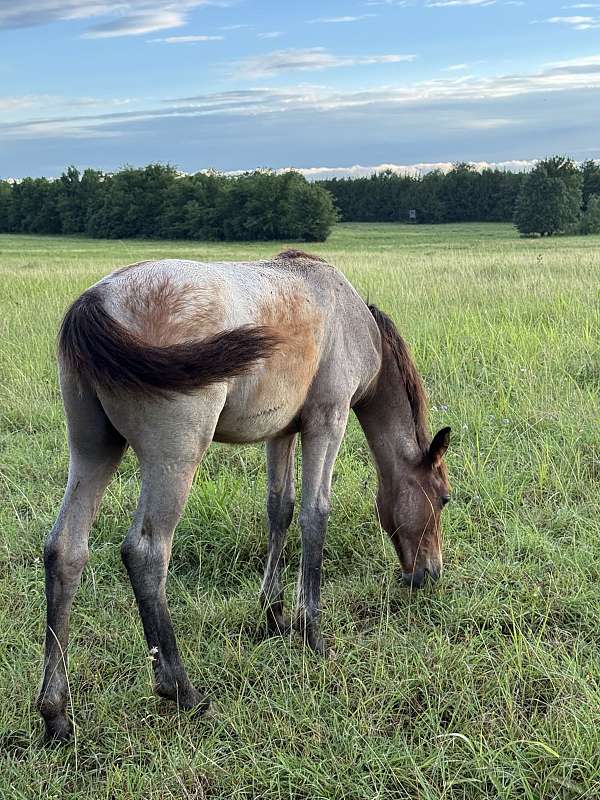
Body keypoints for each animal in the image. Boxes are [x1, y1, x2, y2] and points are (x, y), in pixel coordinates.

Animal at [37, 249, 451, 742]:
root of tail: (96, 302)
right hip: (174, 459)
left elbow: (280, 510)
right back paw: (182, 690)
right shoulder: (326, 422)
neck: (353, 322)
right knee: (146, 552)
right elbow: (315, 515)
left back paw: (56, 713)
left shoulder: (282, 431)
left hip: (93, 450)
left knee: (66, 551)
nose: (429, 574)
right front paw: (312, 633)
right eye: (444, 499)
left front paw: (274, 614)